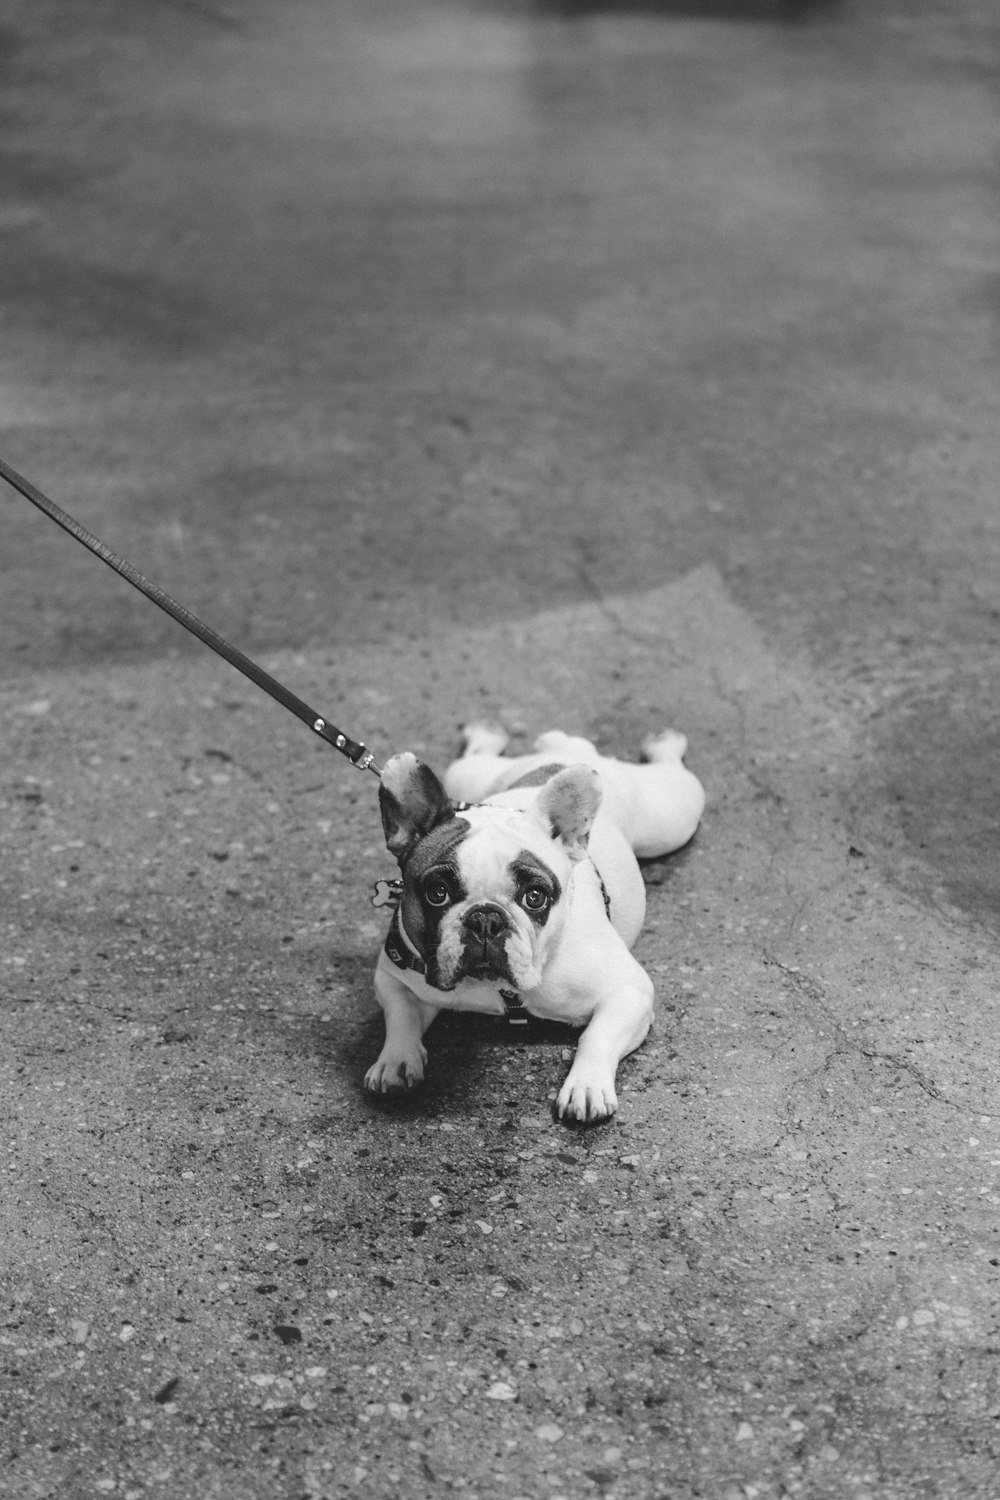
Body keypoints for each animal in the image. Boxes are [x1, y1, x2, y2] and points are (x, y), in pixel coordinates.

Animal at [365, 720, 704, 1122]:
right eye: (438, 893)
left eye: (535, 897)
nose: (486, 918)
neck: (496, 989)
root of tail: (569, 749)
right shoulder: (394, 976)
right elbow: (400, 1017)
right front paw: (396, 1061)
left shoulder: (628, 991)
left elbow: (597, 1035)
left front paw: (586, 1085)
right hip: (467, 775)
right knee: (476, 754)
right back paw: (485, 733)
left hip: (671, 816)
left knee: (674, 770)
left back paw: (666, 741)